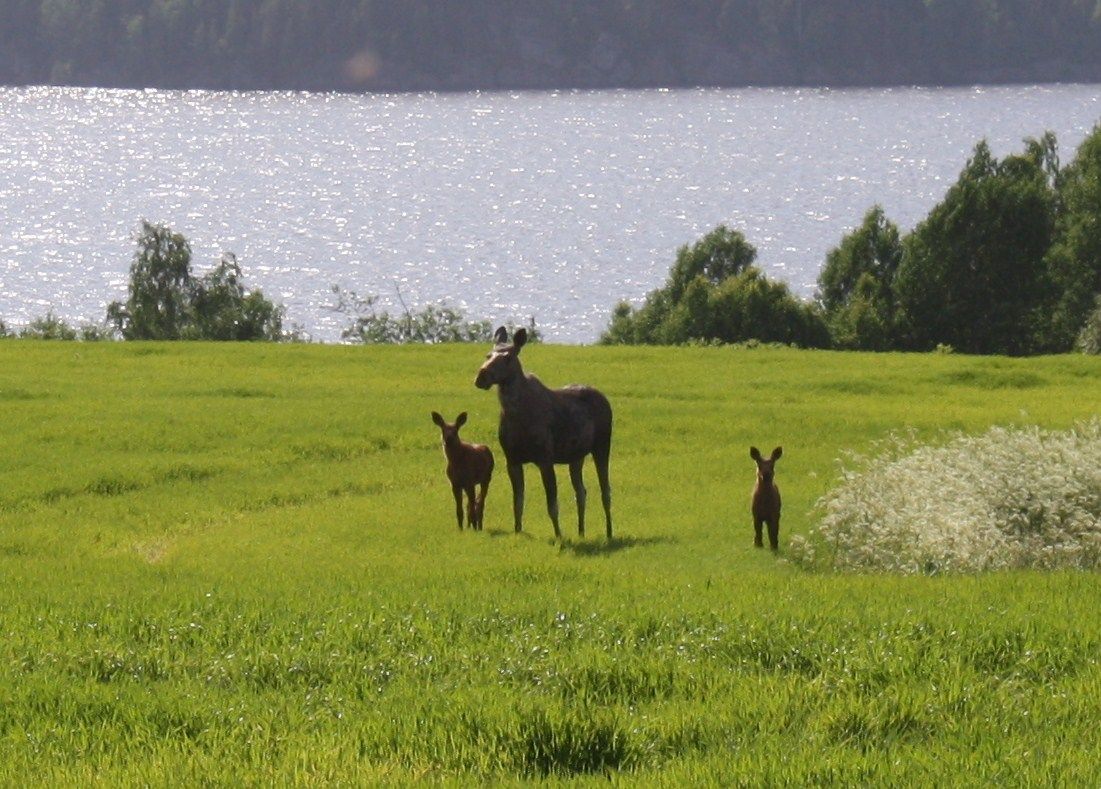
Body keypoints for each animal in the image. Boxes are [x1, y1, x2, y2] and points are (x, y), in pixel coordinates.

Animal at [474, 326, 612, 540]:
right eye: (488, 355)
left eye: (507, 357)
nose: (481, 377)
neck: (515, 413)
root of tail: (605, 399)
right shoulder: (512, 460)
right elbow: (517, 503)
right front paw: (518, 531)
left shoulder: (545, 459)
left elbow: (552, 505)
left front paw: (559, 536)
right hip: (576, 456)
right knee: (581, 492)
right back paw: (581, 532)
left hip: (602, 446)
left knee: (605, 491)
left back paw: (609, 533)